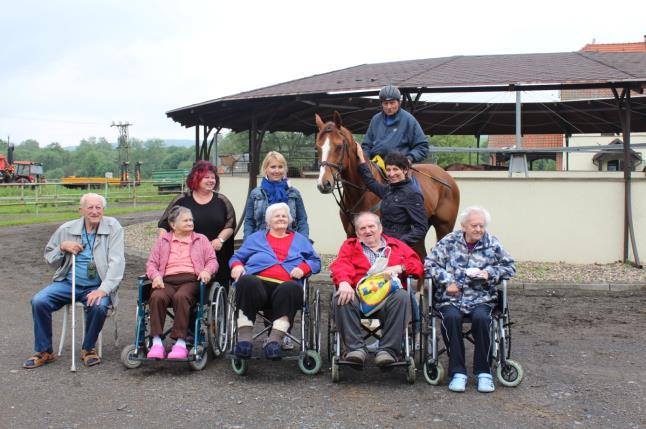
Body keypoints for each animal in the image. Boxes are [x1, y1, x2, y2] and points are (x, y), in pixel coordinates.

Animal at [316, 110, 460, 258]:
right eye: (317, 147)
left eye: (339, 146)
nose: (324, 183)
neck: (361, 193)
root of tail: (447, 177)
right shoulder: (351, 234)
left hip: (444, 226)